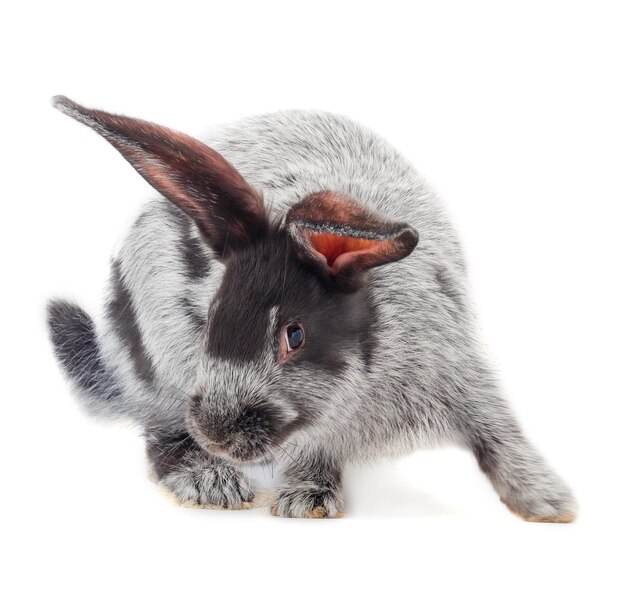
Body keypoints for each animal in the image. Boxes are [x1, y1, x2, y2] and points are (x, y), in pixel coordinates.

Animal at [47, 96, 576, 520]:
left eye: (293, 335)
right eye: (213, 314)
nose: (216, 435)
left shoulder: (459, 374)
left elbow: (498, 434)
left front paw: (549, 503)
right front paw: (305, 500)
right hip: (159, 371)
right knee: (158, 434)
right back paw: (210, 483)